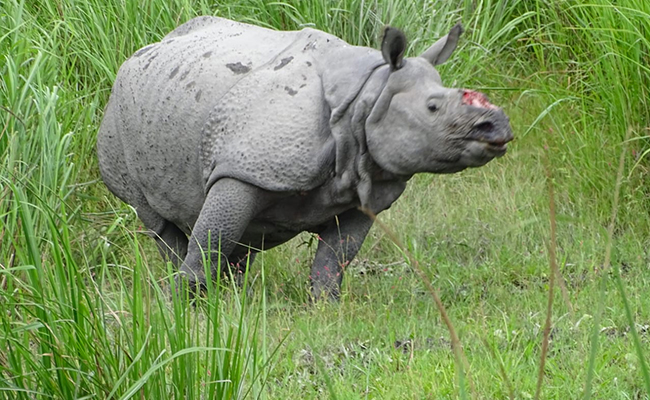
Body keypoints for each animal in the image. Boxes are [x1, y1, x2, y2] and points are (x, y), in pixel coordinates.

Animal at [97, 16, 513, 299]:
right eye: (432, 108)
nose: (498, 126)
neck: (368, 95)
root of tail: (145, 50)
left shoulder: (365, 187)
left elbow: (334, 259)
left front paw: (326, 307)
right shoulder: (243, 169)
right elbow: (208, 243)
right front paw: (184, 308)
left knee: (241, 236)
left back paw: (235, 297)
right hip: (119, 115)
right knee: (156, 219)